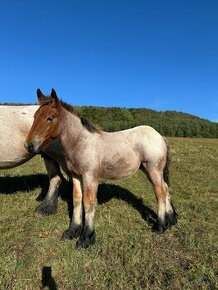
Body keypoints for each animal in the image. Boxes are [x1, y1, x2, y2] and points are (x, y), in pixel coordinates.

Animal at [25, 89, 177, 249]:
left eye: (50, 118)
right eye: (34, 116)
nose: (29, 145)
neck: (81, 142)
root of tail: (159, 136)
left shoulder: (90, 176)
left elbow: (89, 203)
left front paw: (86, 238)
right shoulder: (76, 176)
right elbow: (77, 200)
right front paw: (72, 231)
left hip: (153, 169)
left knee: (160, 193)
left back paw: (159, 226)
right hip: (151, 170)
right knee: (166, 188)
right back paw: (171, 220)